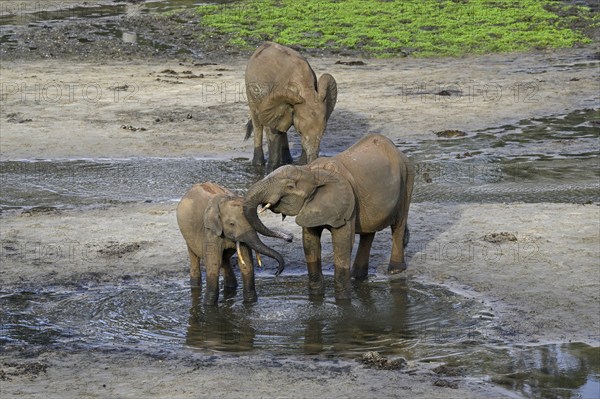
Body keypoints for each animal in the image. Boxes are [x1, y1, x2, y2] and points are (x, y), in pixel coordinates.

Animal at [241, 134, 414, 300]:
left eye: (290, 186)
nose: (276, 273)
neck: (312, 172)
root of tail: (395, 149)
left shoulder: (346, 205)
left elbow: (343, 242)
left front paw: (342, 300)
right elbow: (309, 241)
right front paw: (316, 295)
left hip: (407, 179)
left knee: (398, 224)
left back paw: (394, 271)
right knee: (368, 232)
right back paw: (357, 276)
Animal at [245, 41, 338, 171]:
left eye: (324, 131)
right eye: (299, 132)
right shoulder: (272, 97)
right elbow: (272, 131)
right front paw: (271, 170)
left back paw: (287, 161)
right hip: (250, 93)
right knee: (257, 122)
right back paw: (258, 164)